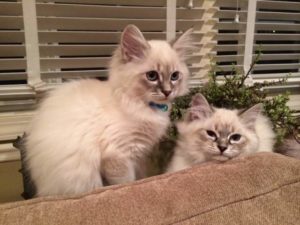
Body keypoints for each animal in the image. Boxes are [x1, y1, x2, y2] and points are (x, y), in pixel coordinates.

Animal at [25, 24, 195, 196]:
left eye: (174, 76)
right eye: (152, 76)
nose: (168, 92)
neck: (140, 104)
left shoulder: (139, 156)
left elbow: (139, 177)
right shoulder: (118, 155)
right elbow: (127, 183)